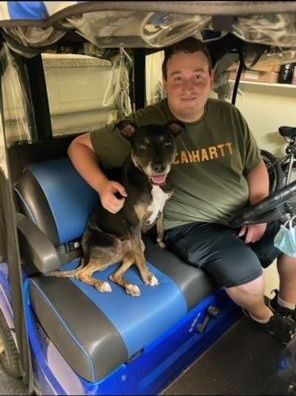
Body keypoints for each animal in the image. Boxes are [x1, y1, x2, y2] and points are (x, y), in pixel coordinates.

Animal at [47, 122, 184, 296]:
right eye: (142, 146)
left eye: (167, 143)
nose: (159, 167)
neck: (151, 183)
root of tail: (84, 250)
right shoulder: (134, 224)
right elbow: (141, 258)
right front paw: (147, 277)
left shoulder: (161, 209)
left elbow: (160, 230)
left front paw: (162, 245)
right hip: (113, 247)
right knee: (82, 273)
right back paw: (101, 285)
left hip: (133, 246)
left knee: (114, 275)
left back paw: (130, 287)